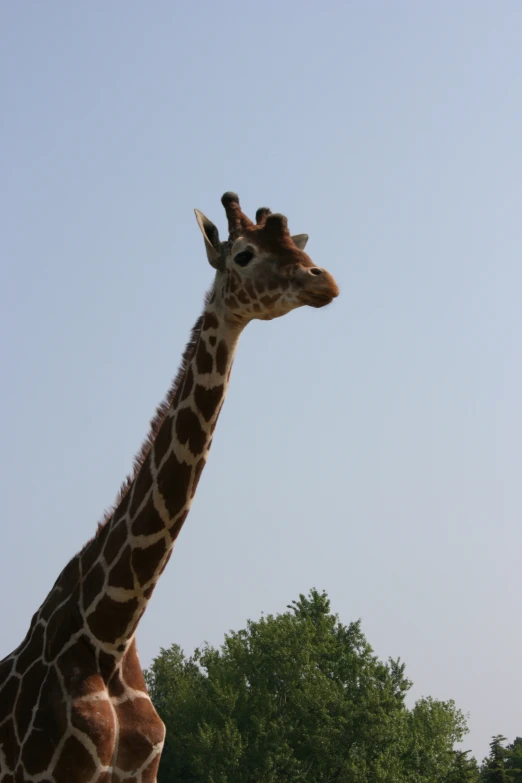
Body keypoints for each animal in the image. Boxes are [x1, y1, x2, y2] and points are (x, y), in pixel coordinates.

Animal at [0, 191, 338, 783]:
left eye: (297, 245)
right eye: (244, 254)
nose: (326, 282)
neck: (109, 634)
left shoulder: (144, 772)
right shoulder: (46, 773)